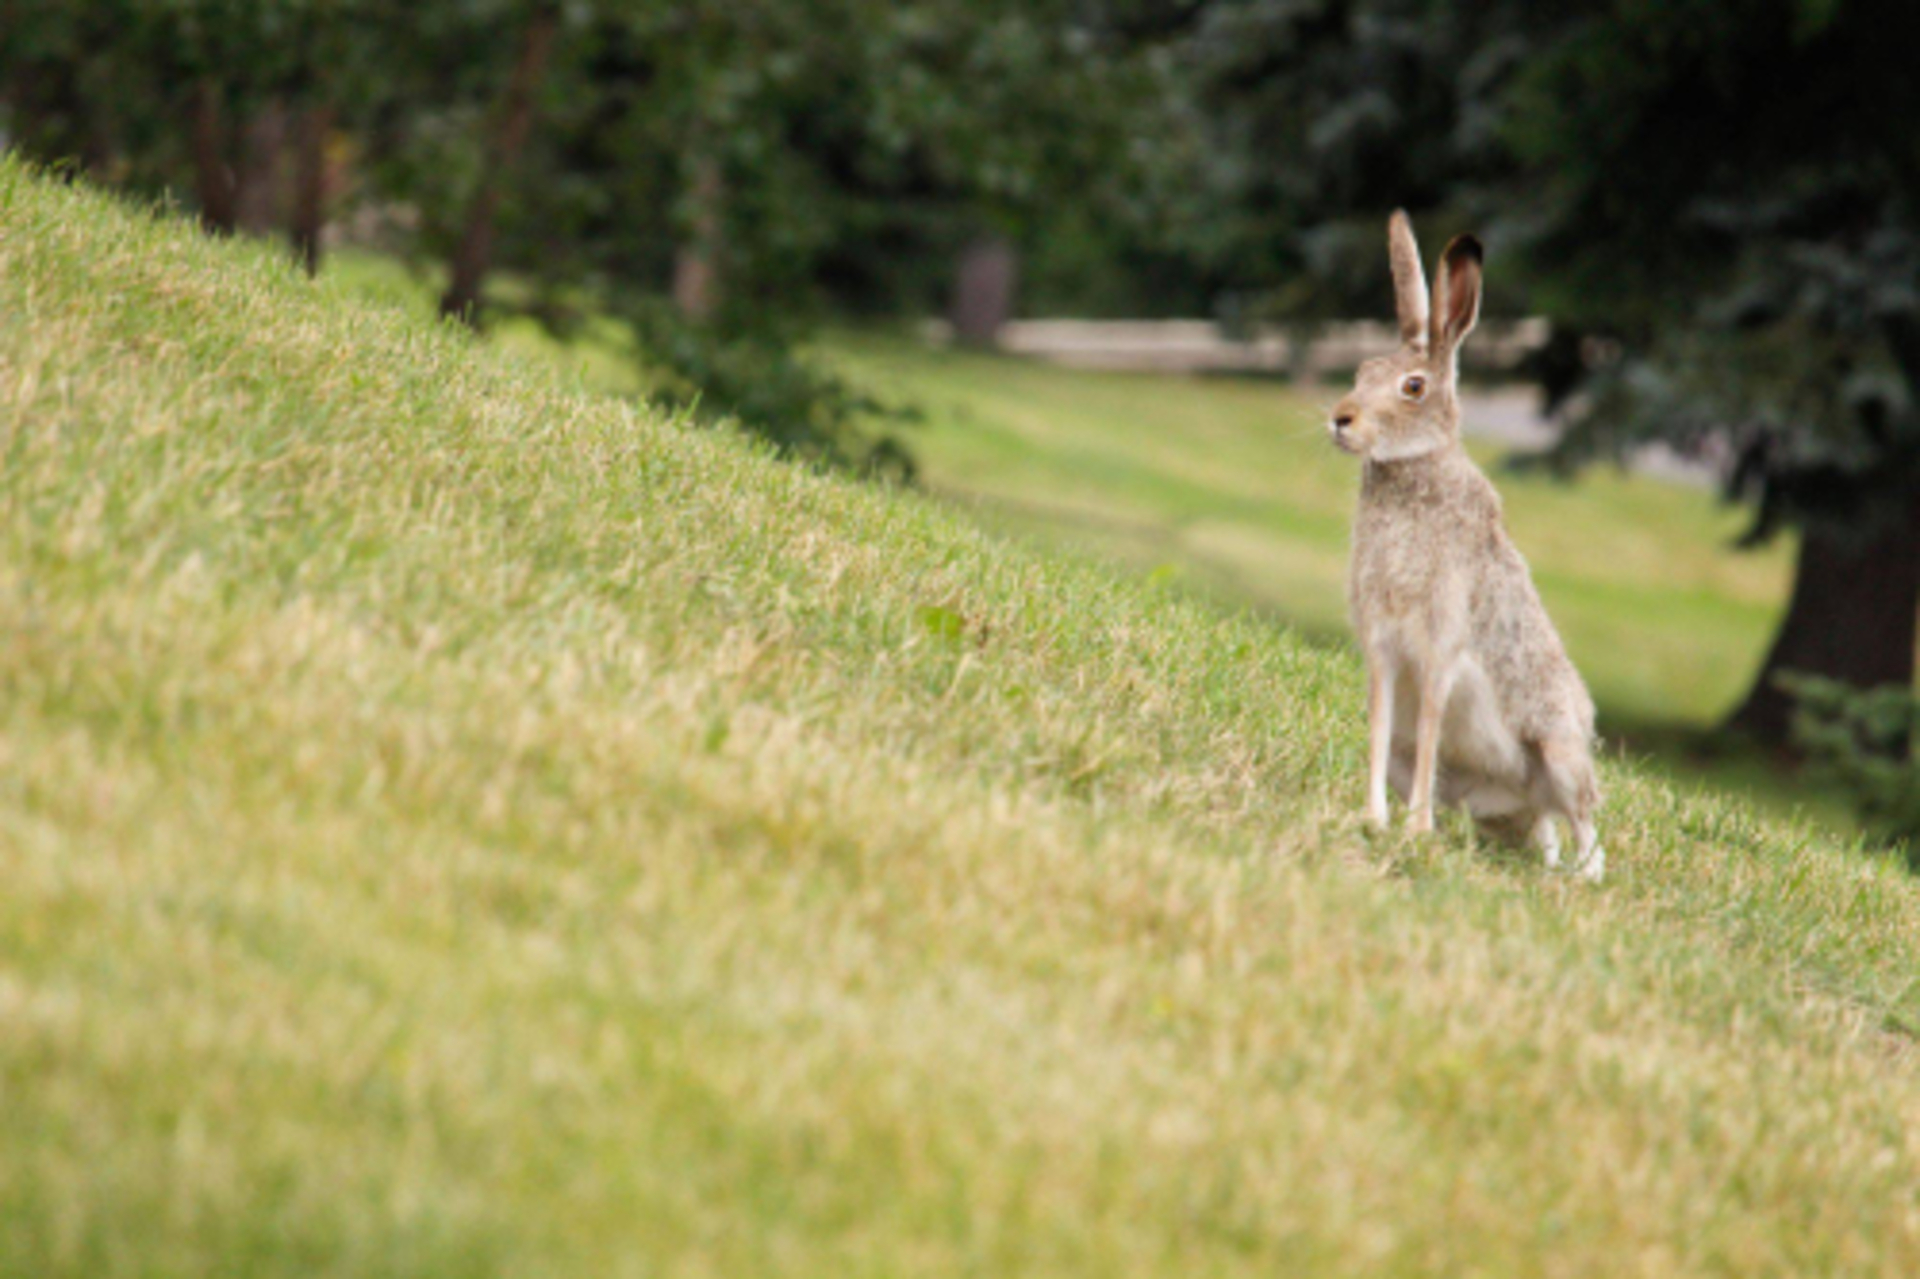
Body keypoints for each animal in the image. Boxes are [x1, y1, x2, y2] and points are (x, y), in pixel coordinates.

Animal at [1327, 210, 1604, 880]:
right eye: (1361, 372)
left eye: (1412, 387)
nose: (1341, 419)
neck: (1414, 467)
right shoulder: (1382, 645)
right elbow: (1382, 724)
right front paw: (1375, 821)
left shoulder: (1440, 645)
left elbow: (1431, 722)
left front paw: (1416, 830)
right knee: (1542, 827)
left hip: (1560, 754)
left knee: (1586, 826)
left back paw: (1581, 878)